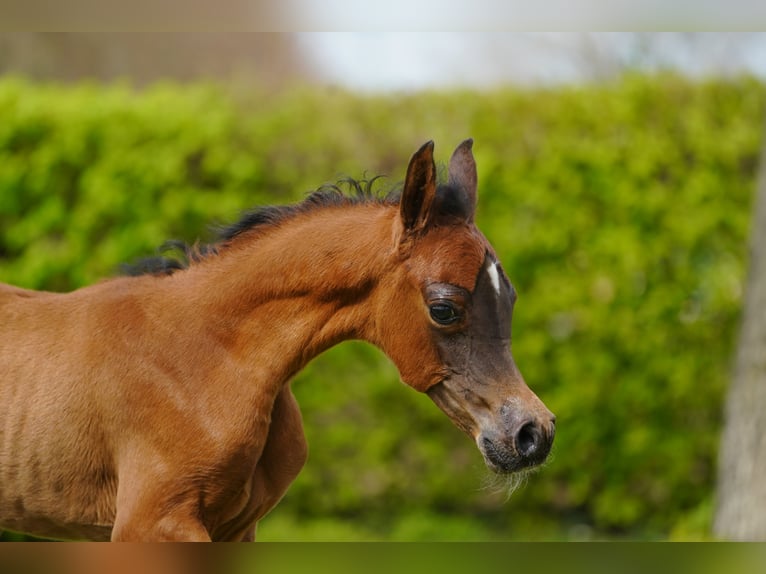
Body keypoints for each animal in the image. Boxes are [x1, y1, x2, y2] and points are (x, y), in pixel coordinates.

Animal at [0, 141, 552, 544]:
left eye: (511, 298)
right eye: (444, 308)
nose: (533, 433)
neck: (203, 357)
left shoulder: (237, 531)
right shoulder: (153, 525)